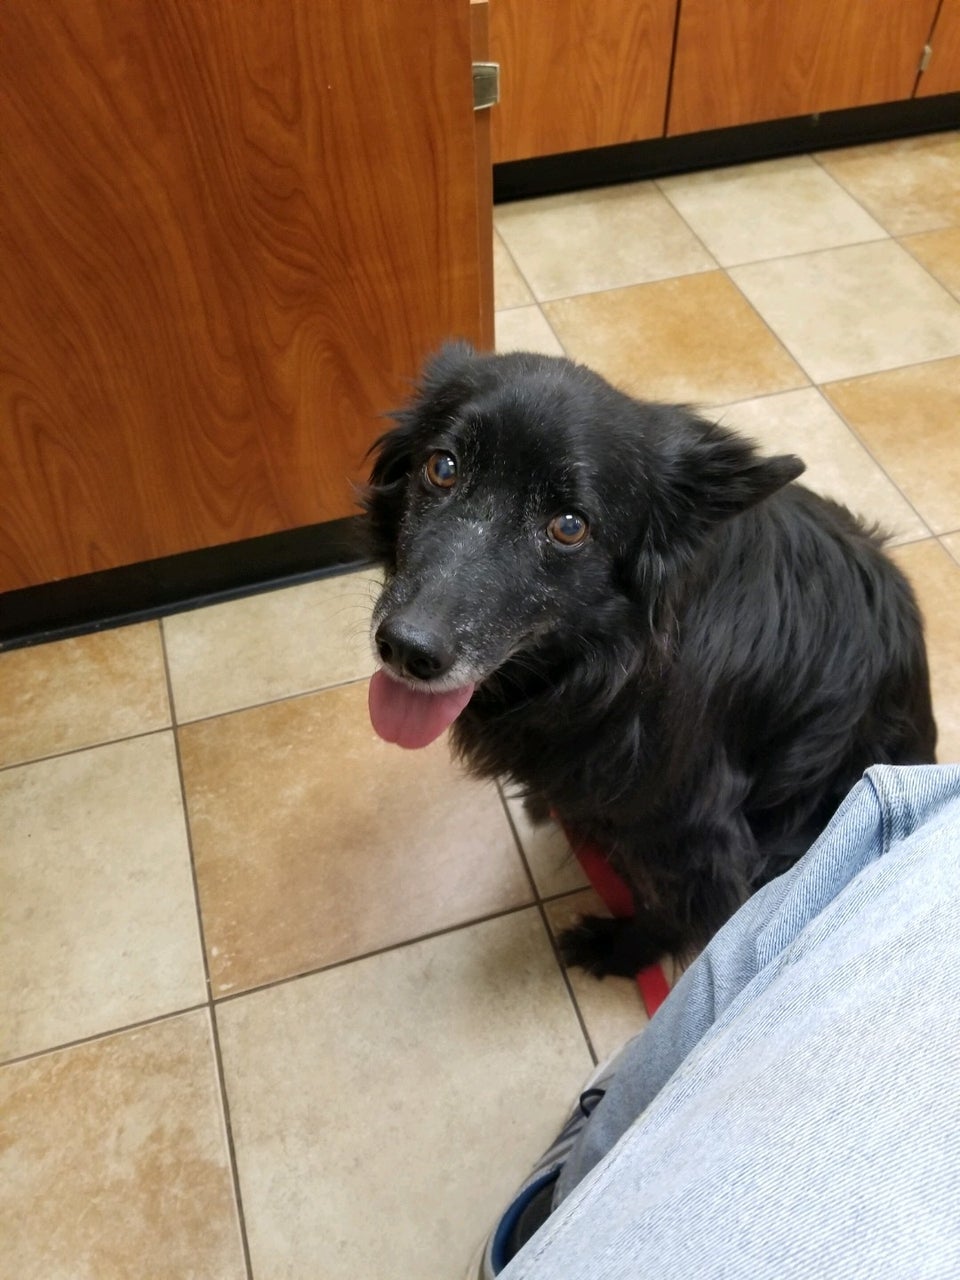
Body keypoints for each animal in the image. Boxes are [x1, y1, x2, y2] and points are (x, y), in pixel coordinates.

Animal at [363, 342, 937, 976]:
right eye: (442, 467)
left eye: (569, 526)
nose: (408, 648)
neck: (615, 665)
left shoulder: (693, 835)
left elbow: (671, 912)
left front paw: (618, 951)